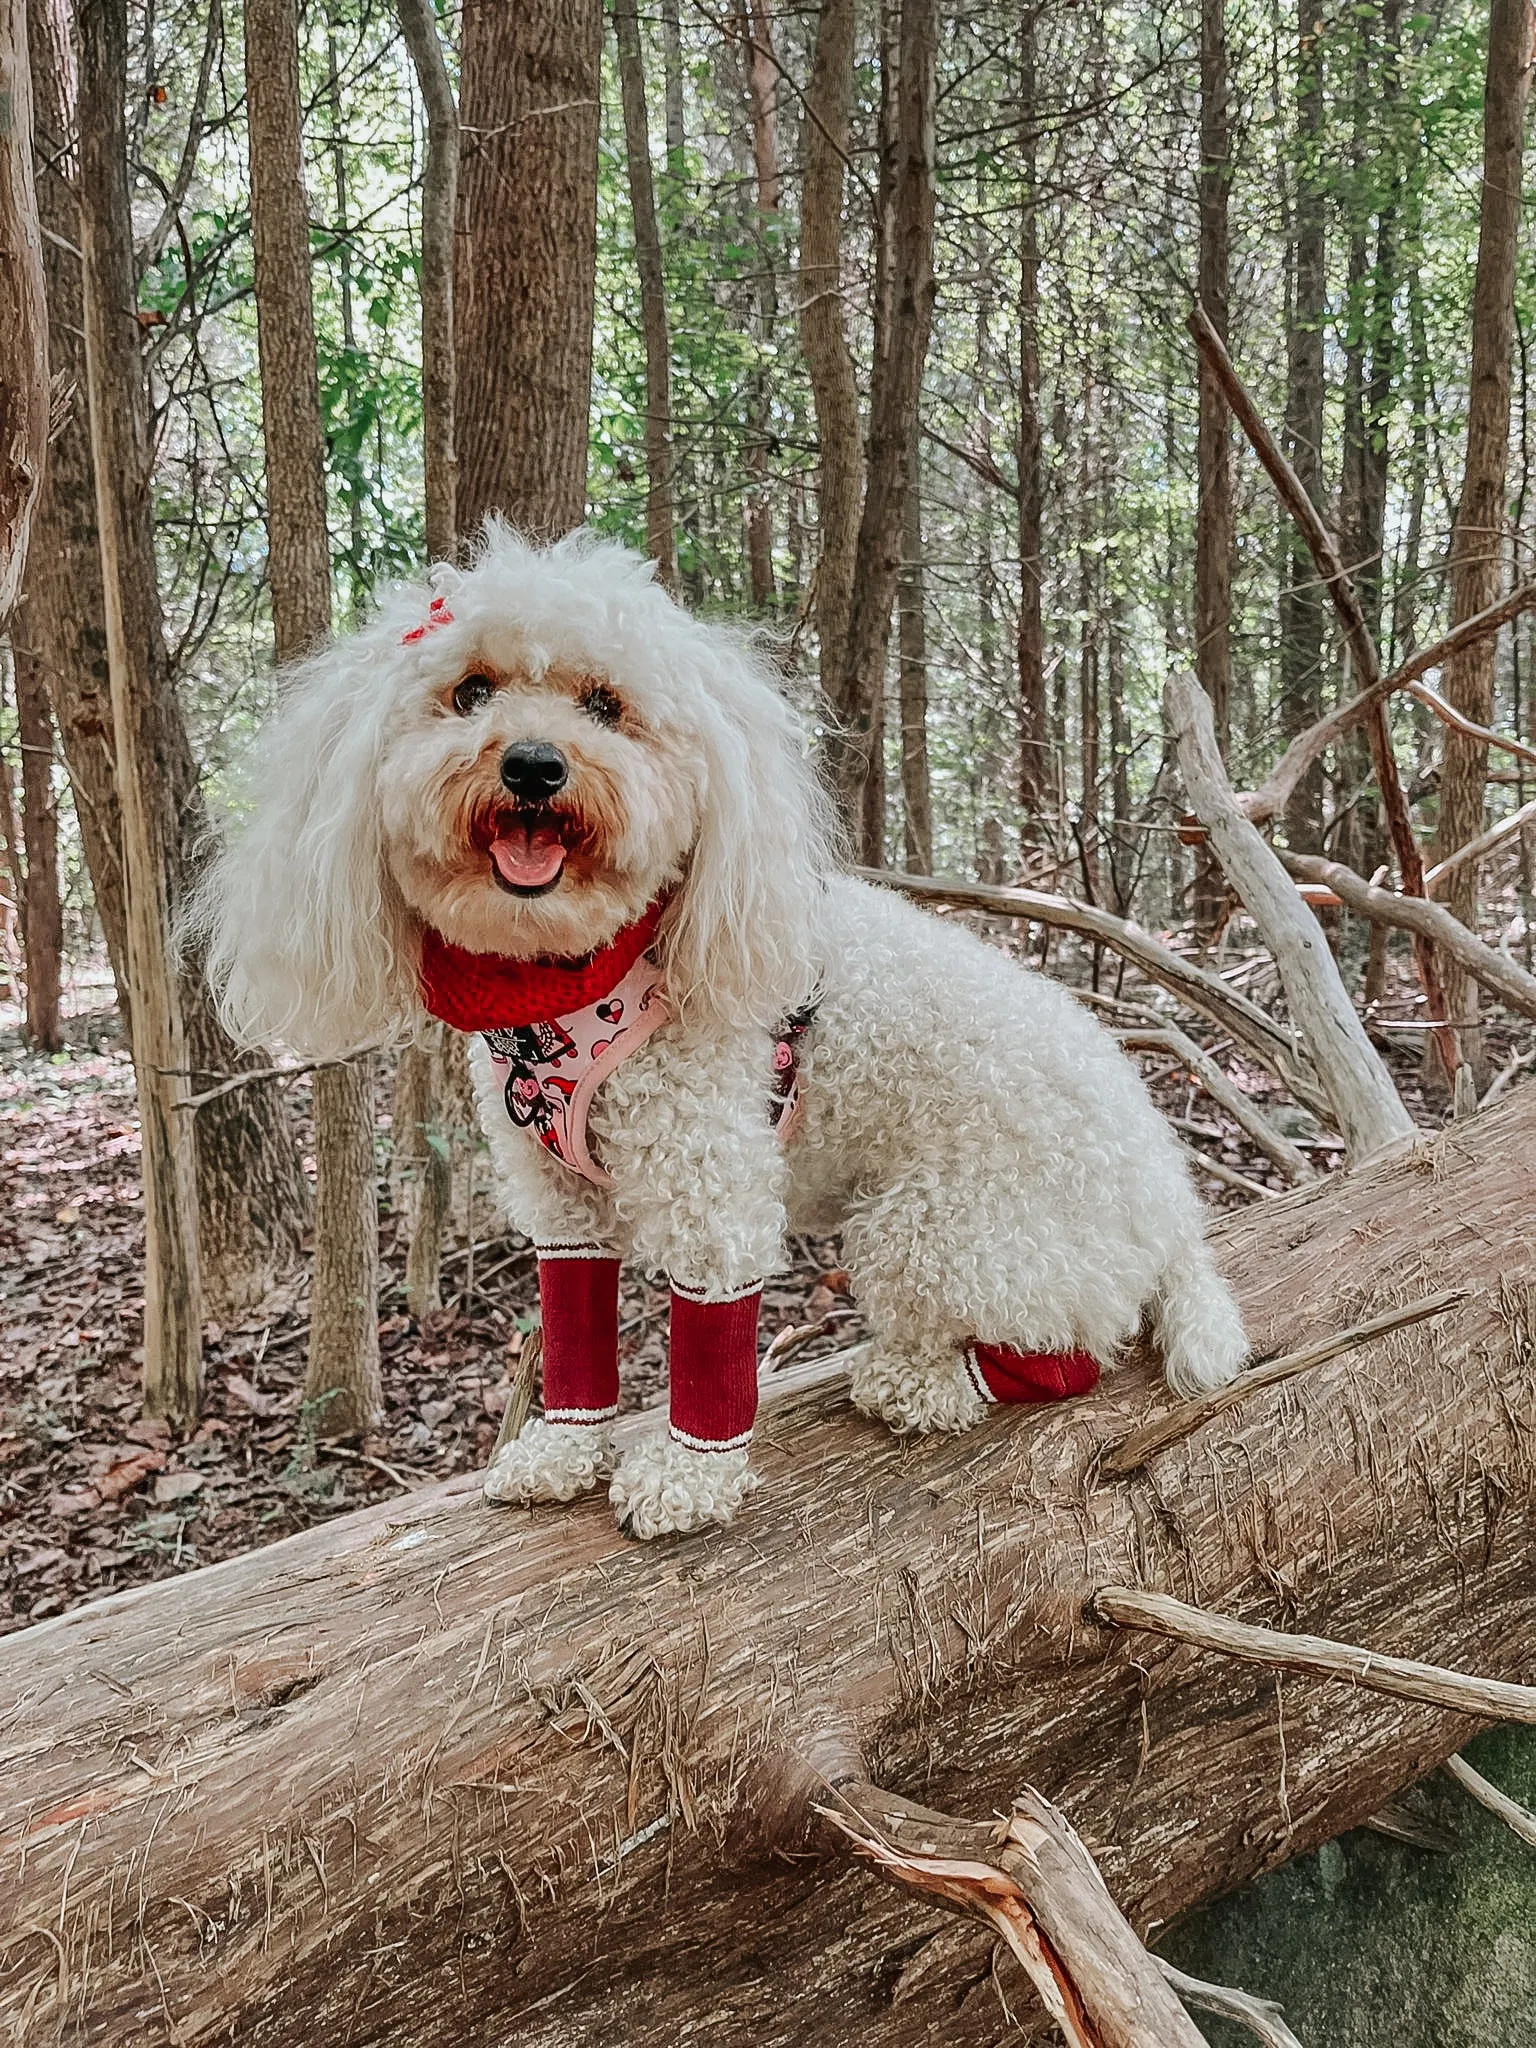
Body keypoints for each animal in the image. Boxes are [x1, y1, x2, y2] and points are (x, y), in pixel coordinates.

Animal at [201, 528, 1253, 1540]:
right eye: (469, 692)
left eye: (606, 704)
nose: (534, 765)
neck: (573, 982)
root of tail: (1176, 1211)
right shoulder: (559, 1200)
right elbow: (574, 1325)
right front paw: (563, 1450)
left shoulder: (710, 1177)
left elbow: (712, 1339)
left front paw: (686, 1478)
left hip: (941, 1230)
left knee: (1071, 1355)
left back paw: (918, 1384)